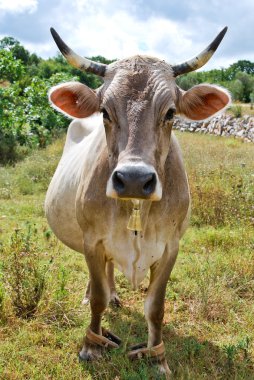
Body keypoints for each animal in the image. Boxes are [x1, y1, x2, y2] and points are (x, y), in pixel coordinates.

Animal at [45, 27, 230, 378]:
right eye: (105, 111)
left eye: (170, 112)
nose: (133, 179)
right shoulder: (92, 240)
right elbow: (98, 298)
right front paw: (92, 346)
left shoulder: (171, 247)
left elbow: (155, 307)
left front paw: (157, 357)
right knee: (100, 278)